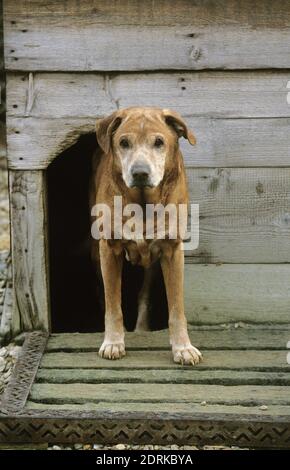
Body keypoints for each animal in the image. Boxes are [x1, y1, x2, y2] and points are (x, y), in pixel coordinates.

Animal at [90, 107, 202, 368]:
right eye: (123, 143)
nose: (140, 173)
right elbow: (113, 303)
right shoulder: (108, 249)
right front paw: (113, 342)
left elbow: (176, 307)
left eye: (159, 142)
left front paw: (183, 348)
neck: (142, 203)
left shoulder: (172, 251)